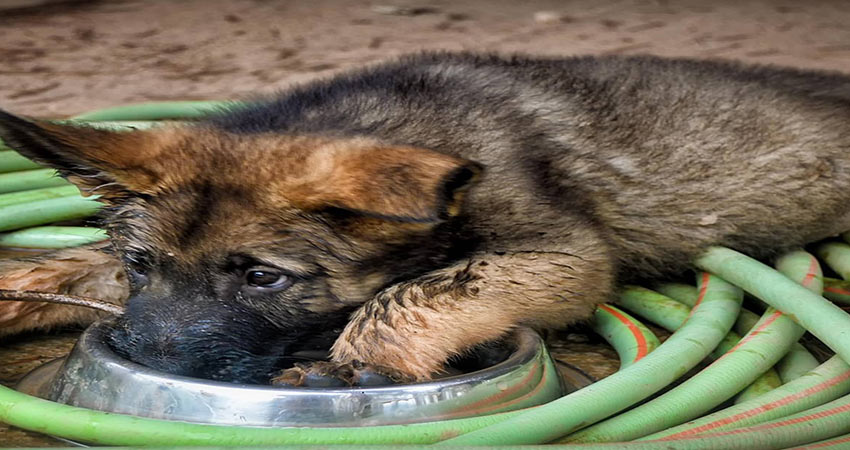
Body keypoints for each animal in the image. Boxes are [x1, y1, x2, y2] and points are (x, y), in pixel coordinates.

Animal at [1, 51, 848, 384]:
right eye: (142, 265)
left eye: (264, 279)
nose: (152, 362)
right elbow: (76, 265)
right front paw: (16, 288)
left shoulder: (566, 252)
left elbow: (419, 292)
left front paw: (351, 366)